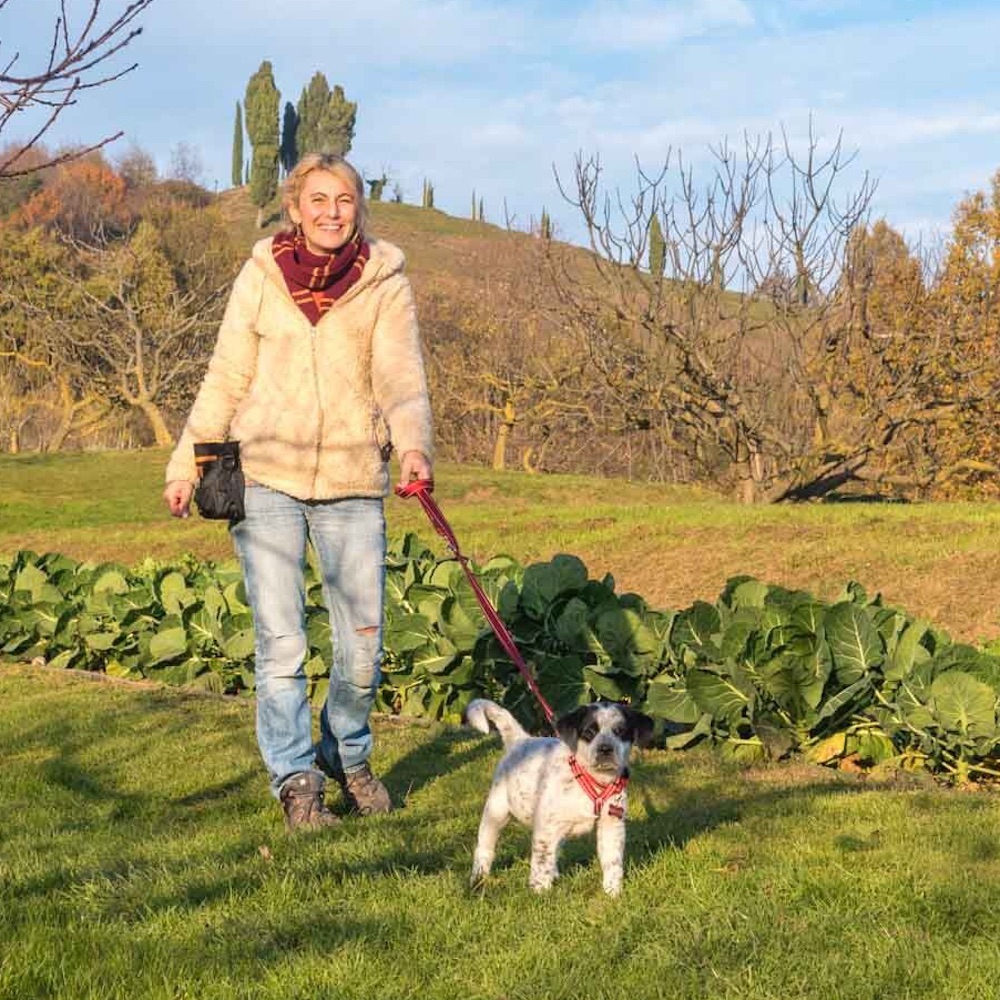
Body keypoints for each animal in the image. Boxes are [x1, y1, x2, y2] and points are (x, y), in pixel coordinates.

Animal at [462, 696, 656, 900]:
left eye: (620, 731)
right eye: (589, 732)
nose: (605, 749)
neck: (593, 779)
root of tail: (520, 739)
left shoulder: (611, 825)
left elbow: (612, 861)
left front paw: (613, 893)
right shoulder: (545, 829)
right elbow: (541, 862)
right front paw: (539, 893)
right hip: (496, 812)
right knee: (485, 849)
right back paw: (478, 880)